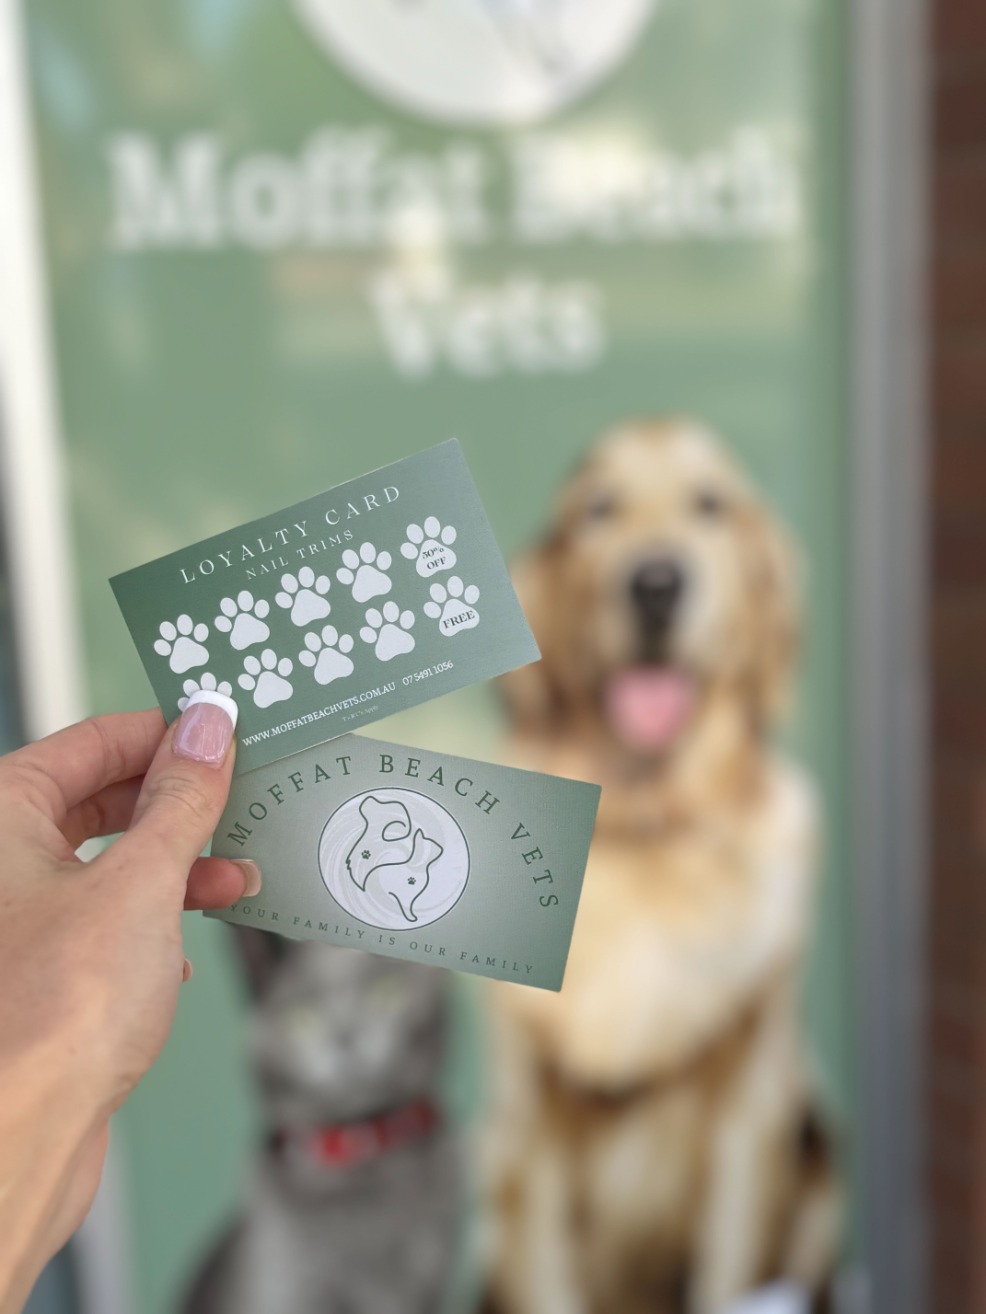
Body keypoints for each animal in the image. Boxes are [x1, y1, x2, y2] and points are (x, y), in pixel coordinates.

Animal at [483, 417, 841, 1314]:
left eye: (710, 504)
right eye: (598, 509)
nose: (654, 583)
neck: (644, 821)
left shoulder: (749, 1115)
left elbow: (727, 1267)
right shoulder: (527, 1131)